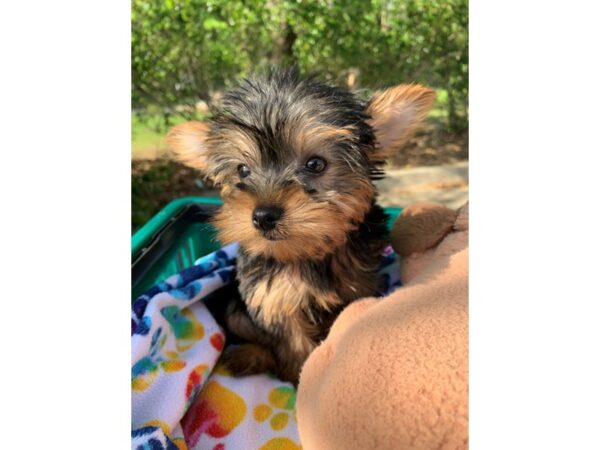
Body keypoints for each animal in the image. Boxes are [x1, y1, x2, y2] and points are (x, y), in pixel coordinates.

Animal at [166, 67, 434, 384]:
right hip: (236, 307)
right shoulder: (273, 297)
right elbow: (292, 343)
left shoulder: (358, 286)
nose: (263, 216)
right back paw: (248, 356)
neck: (307, 253)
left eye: (315, 164)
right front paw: (299, 378)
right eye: (243, 170)